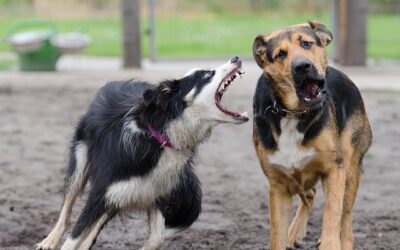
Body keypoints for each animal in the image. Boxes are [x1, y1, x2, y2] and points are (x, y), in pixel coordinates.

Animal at [36, 57, 248, 250]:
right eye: (206, 75)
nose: (236, 58)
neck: (160, 136)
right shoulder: (101, 192)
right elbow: (73, 237)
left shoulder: (155, 191)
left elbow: (157, 238)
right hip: (81, 160)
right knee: (68, 205)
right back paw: (49, 241)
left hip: (123, 194)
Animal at [253, 20, 372, 249]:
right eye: (280, 54)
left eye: (307, 44)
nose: (302, 66)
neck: (292, 113)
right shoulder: (278, 186)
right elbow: (277, 236)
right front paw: (287, 235)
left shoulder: (334, 169)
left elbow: (333, 215)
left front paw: (330, 242)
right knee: (309, 194)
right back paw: (295, 233)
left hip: (350, 167)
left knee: (346, 216)